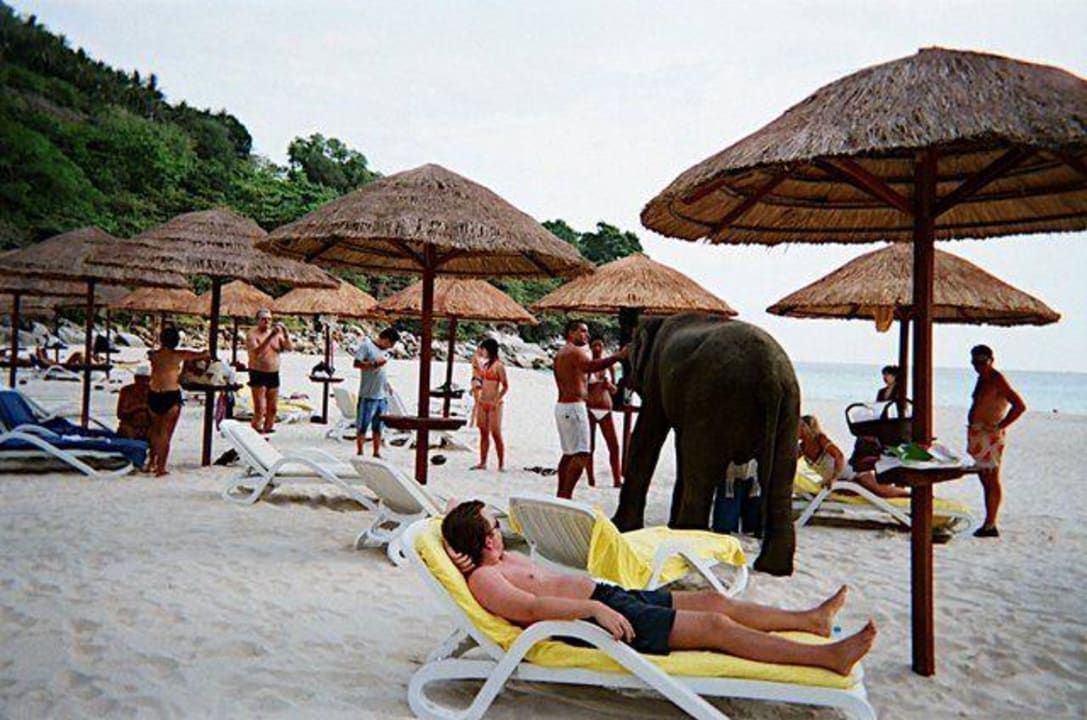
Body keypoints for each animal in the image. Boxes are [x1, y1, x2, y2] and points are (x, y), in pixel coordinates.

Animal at [613, 312, 800, 576]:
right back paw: (773, 568)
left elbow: (649, 432)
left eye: (627, 360)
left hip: (717, 400)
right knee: (780, 478)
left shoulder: (656, 376)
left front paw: (620, 527)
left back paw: (686, 543)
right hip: (789, 411)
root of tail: (771, 377)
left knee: (700, 466)